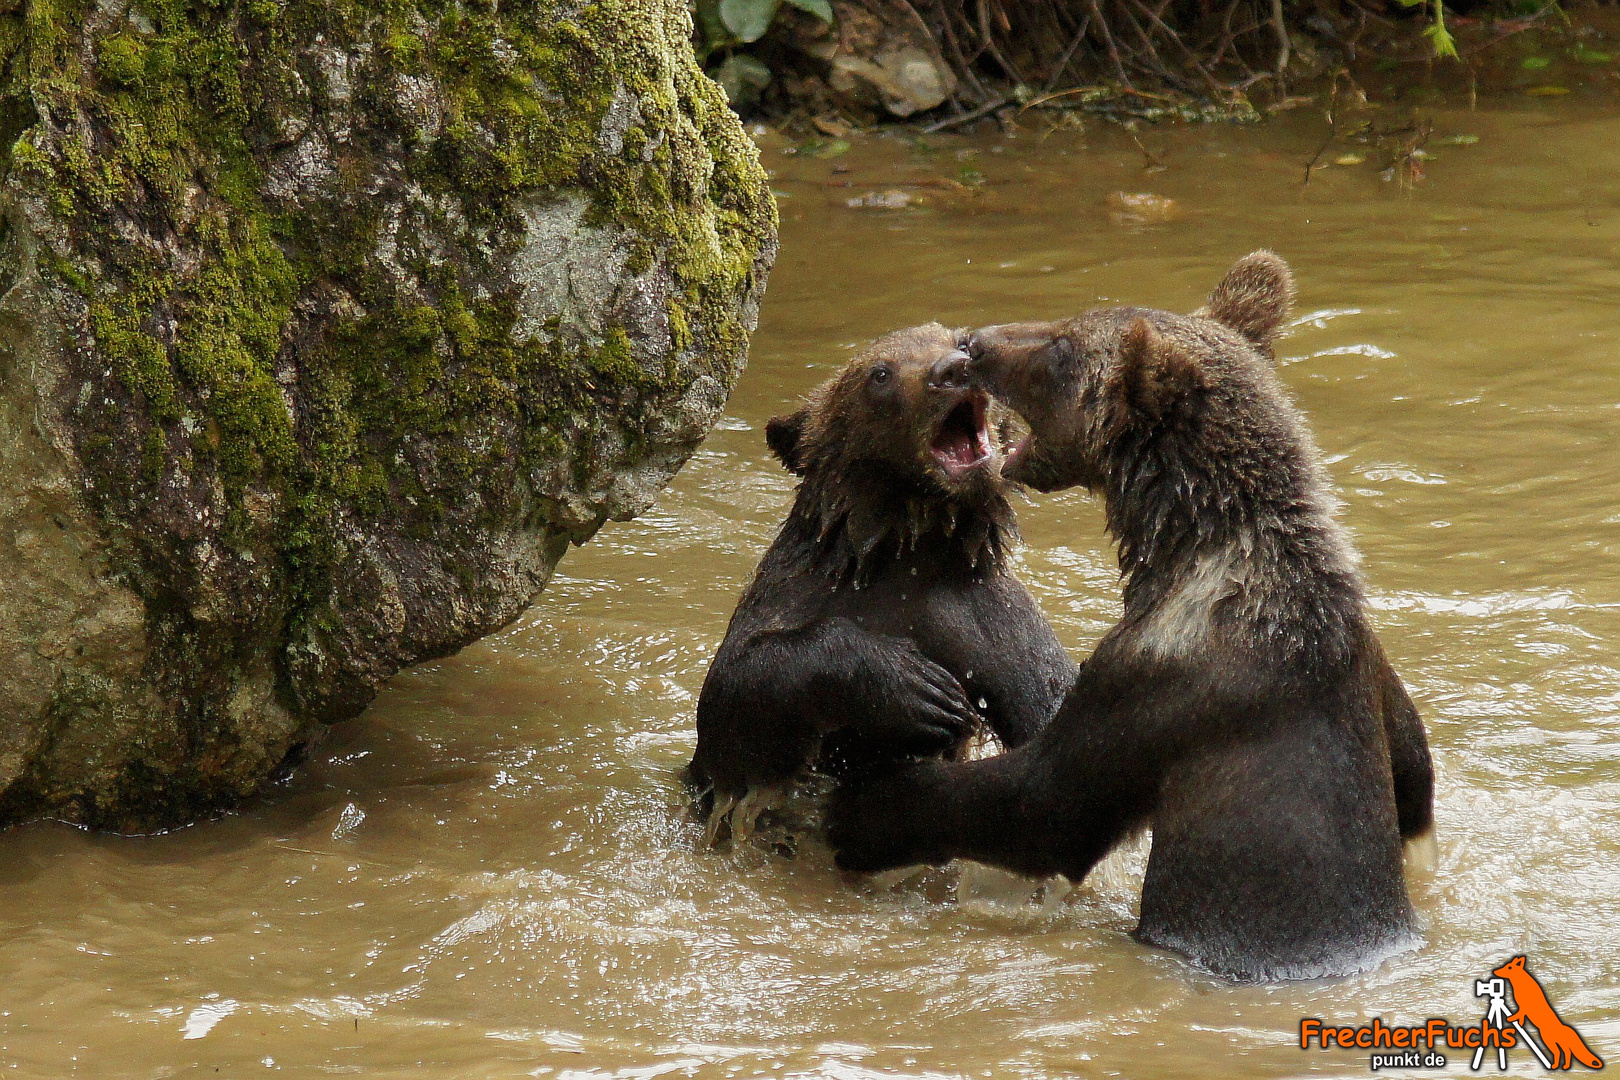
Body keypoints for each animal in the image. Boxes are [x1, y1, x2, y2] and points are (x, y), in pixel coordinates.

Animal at [686, 325, 1075, 848]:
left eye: (961, 342)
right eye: (880, 373)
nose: (952, 370)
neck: (910, 549)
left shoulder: (993, 623)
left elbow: (1048, 703)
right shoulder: (800, 590)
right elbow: (735, 704)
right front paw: (922, 690)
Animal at [829, 257, 1438, 984]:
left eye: (1062, 345)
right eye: (1069, 323)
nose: (973, 342)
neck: (1192, 550)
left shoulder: (1160, 677)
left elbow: (1043, 805)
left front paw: (867, 807)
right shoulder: (1373, 677)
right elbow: (1414, 770)